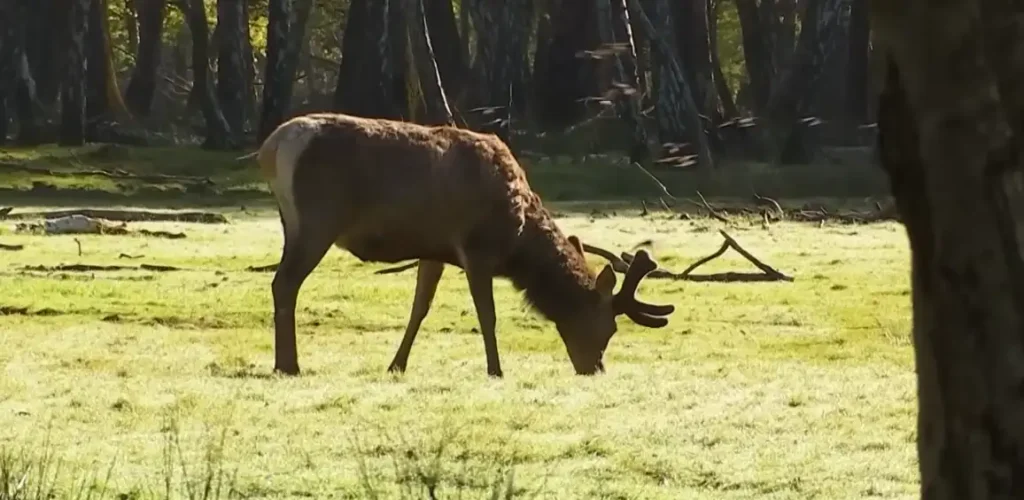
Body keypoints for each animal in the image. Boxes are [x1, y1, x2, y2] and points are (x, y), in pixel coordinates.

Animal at [254, 112, 675, 378]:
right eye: (607, 328)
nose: (595, 370)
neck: (518, 242)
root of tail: (271, 148)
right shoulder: (476, 248)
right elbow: (487, 315)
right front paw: (496, 369)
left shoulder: (433, 250)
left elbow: (418, 309)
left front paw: (396, 365)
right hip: (318, 219)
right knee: (284, 283)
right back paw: (288, 364)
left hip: (291, 222)